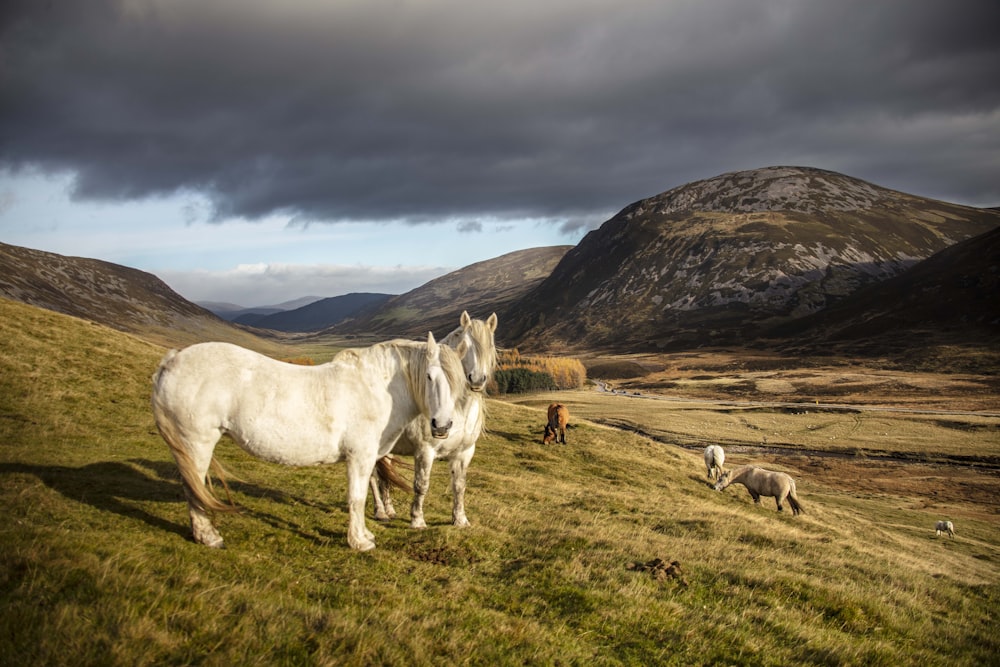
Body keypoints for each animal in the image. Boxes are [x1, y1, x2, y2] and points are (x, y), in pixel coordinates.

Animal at [151, 334, 464, 552]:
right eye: (429, 376)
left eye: (458, 383)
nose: (442, 426)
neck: (374, 389)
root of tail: (172, 361)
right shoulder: (360, 457)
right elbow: (357, 498)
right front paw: (359, 542)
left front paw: (365, 535)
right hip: (196, 444)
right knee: (193, 488)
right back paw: (209, 537)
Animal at [370, 310, 498, 528]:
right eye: (465, 344)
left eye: (489, 345)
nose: (476, 380)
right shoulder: (425, 451)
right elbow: (421, 485)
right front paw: (417, 520)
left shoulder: (464, 452)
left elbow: (459, 485)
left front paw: (460, 519)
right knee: (371, 477)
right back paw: (380, 511)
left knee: (384, 476)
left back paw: (389, 510)